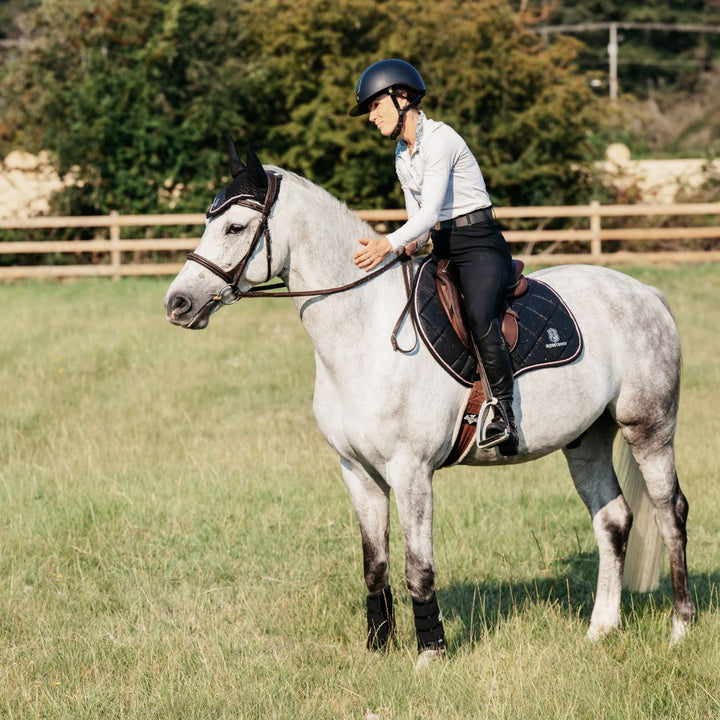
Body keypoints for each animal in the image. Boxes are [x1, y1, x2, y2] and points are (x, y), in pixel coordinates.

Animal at [163, 148, 692, 668]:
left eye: (234, 227)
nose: (178, 304)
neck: (365, 332)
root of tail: (647, 294)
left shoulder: (411, 471)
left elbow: (419, 568)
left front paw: (430, 653)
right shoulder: (358, 472)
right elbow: (375, 567)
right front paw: (379, 649)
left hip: (649, 429)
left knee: (670, 514)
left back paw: (680, 629)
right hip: (587, 439)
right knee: (613, 520)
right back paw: (600, 630)